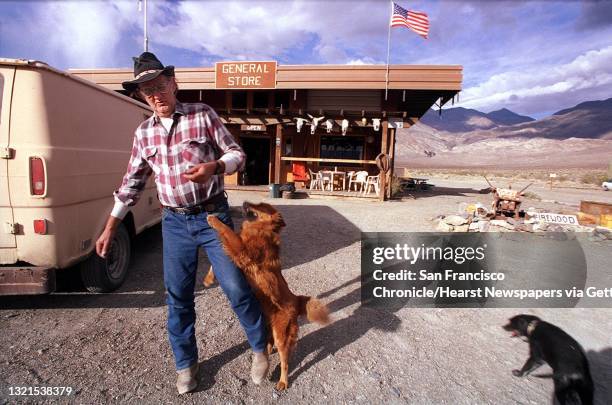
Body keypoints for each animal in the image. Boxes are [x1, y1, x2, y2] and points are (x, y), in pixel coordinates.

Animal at [206, 201, 330, 388]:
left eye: (261, 206)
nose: (244, 202)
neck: (261, 228)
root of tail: (297, 300)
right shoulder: (238, 252)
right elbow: (218, 259)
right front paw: (208, 279)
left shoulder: (243, 251)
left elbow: (226, 231)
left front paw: (212, 219)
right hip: (267, 323)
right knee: (269, 341)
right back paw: (267, 352)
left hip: (282, 335)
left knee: (285, 362)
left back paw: (283, 382)